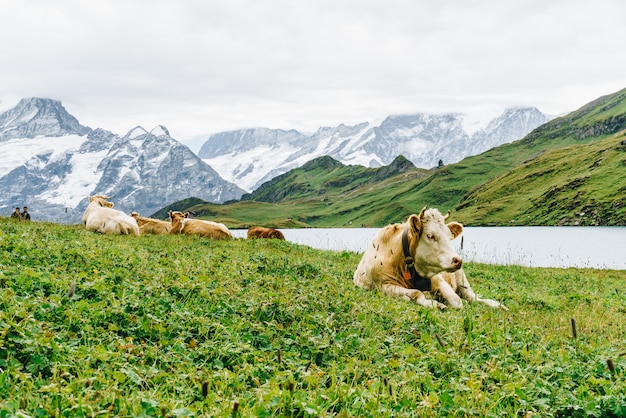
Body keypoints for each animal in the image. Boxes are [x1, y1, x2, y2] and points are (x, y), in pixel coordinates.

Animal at [354, 207, 504, 308]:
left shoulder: (437, 279)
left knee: (473, 297)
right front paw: (435, 304)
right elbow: (416, 293)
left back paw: (497, 305)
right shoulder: (383, 286)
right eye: (430, 236)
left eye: (449, 236)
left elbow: (456, 301)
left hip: (462, 280)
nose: (457, 260)